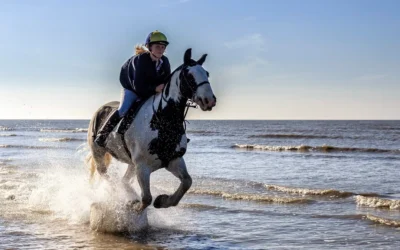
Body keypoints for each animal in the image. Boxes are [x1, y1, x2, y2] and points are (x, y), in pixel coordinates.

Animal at [87, 48, 217, 213]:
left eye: (207, 73)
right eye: (189, 75)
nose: (209, 100)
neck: (163, 120)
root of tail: (100, 110)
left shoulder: (173, 160)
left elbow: (187, 182)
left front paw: (163, 201)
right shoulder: (143, 166)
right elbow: (146, 199)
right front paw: (135, 206)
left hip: (131, 163)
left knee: (124, 180)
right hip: (98, 152)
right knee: (106, 175)